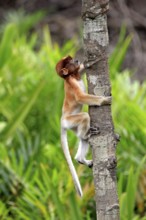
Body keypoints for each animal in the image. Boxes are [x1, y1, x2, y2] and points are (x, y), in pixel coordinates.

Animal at [55, 55, 111, 196]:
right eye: (69, 62)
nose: (76, 60)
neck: (71, 77)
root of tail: (62, 121)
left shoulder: (76, 75)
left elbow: (82, 71)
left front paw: (90, 62)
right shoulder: (72, 83)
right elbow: (80, 97)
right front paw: (105, 100)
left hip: (72, 126)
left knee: (82, 139)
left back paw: (80, 158)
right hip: (70, 121)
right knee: (85, 116)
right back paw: (87, 134)